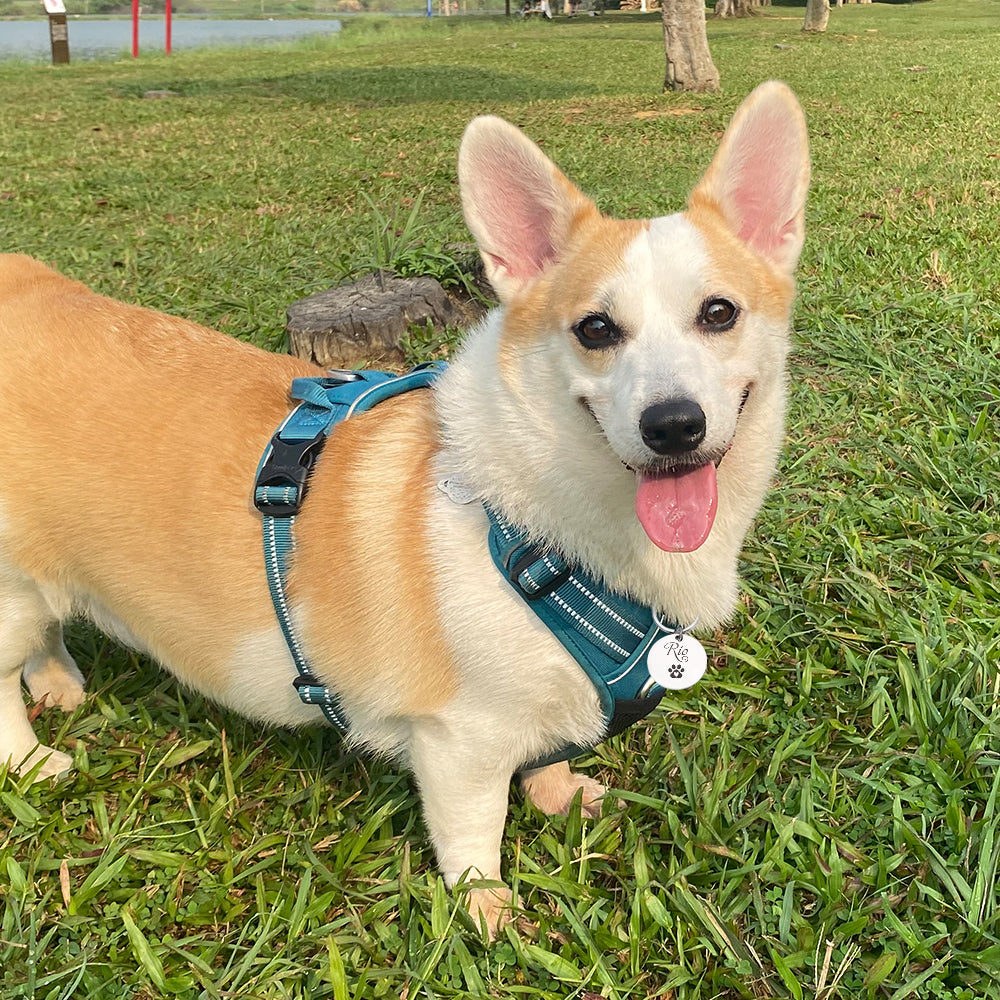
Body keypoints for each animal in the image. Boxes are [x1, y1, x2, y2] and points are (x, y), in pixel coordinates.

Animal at [0, 82, 808, 932]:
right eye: (595, 329)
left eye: (719, 313)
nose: (673, 424)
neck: (547, 526)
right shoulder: (461, 743)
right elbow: (476, 832)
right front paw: (490, 917)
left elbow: (547, 759)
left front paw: (559, 797)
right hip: (11, 593)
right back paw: (31, 759)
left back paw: (57, 682)